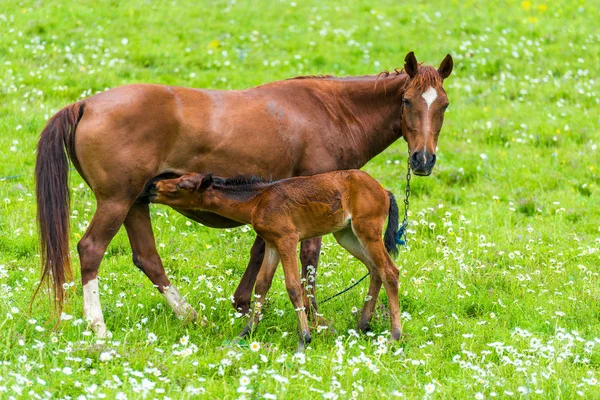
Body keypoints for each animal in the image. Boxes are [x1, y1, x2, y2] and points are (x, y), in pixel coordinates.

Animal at [148, 170, 404, 352]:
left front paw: (304, 339)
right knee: (375, 269)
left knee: (390, 271)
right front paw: (245, 333)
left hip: (367, 230)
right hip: (346, 235)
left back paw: (394, 335)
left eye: (180, 186)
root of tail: (383, 190)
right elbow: (262, 285)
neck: (258, 201)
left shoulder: (287, 240)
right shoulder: (271, 243)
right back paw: (362, 326)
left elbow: (293, 287)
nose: (152, 187)